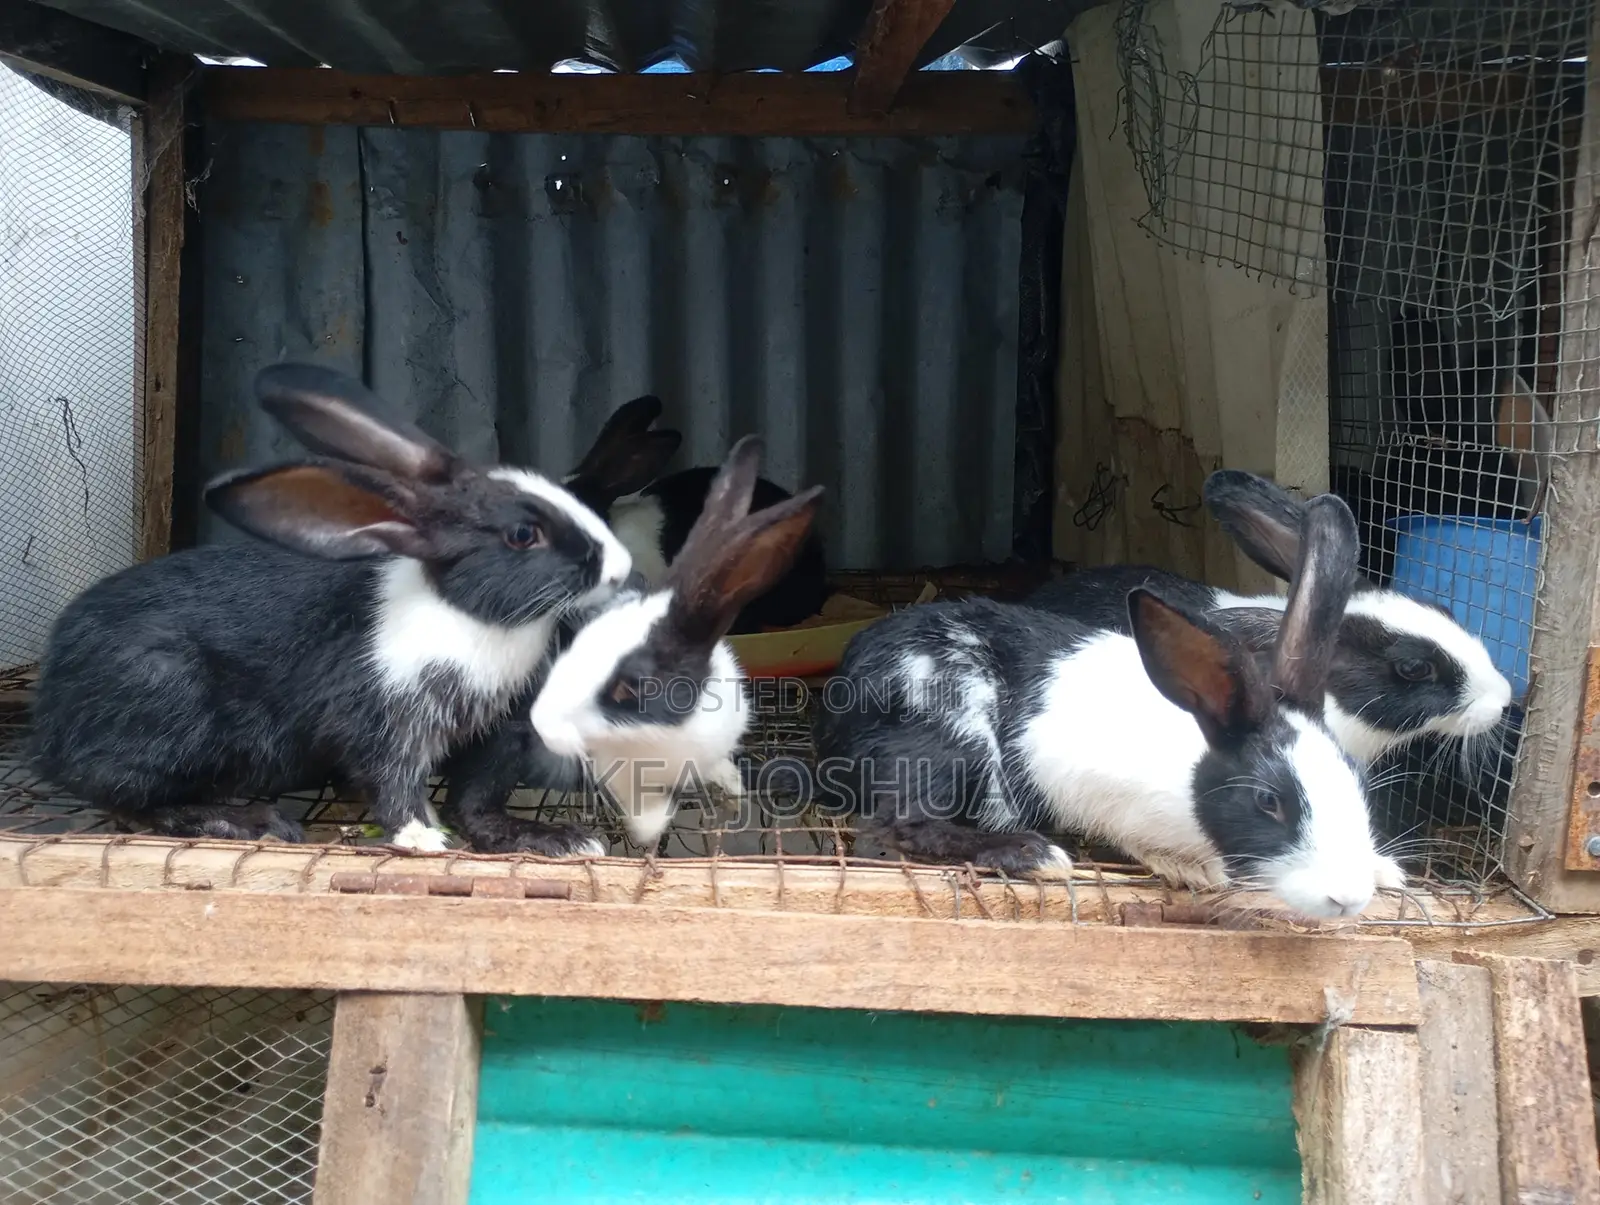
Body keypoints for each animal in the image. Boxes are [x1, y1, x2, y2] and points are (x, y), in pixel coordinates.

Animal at [29, 363, 632, 849]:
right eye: (522, 534)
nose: (622, 567)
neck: (468, 617)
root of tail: (50, 714)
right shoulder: (382, 722)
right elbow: (393, 785)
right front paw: (423, 840)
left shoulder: (496, 737)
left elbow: (476, 801)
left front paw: (554, 839)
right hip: (166, 706)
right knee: (125, 798)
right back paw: (250, 823)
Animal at [812, 493, 1404, 920]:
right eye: (1268, 801)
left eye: (1357, 784)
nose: (1347, 899)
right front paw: (1195, 871)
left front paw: (1385, 871)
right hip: (947, 738)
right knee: (899, 825)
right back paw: (1036, 855)